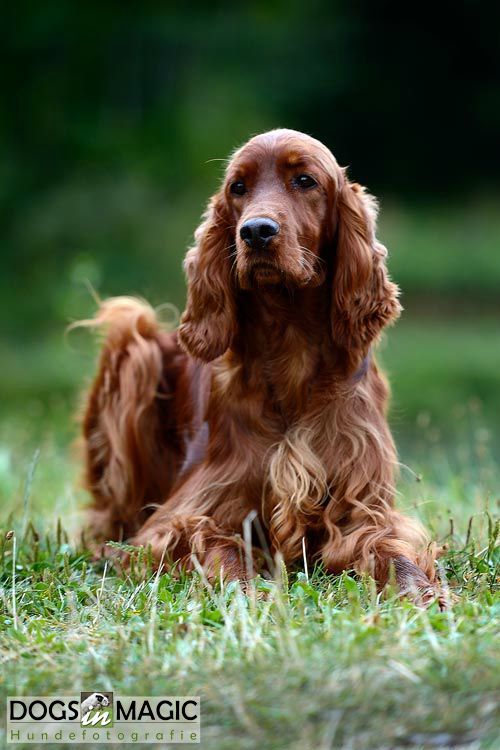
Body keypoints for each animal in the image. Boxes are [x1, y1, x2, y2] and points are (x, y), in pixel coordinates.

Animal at [84, 129, 440, 604]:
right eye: (238, 187)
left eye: (305, 180)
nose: (255, 231)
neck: (290, 349)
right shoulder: (185, 515)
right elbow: (220, 551)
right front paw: (249, 596)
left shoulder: (363, 509)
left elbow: (394, 554)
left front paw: (426, 596)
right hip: (133, 336)